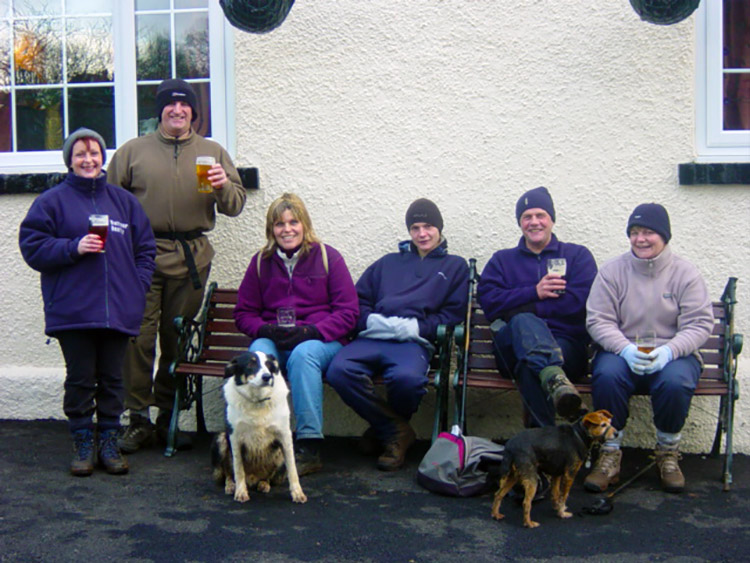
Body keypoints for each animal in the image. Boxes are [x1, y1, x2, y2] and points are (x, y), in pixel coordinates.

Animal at [210, 350, 306, 504]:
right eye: (251, 363)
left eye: (268, 365)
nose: (267, 377)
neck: (257, 400)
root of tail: (253, 479)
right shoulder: (234, 437)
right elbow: (238, 469)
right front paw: (241, 492)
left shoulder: (285, 436)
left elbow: (293, 470)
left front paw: (297, 493)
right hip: (221, 439)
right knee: (227, 472)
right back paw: (231, 485)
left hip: (279, 454)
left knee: (269, 477)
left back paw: (264, 483)